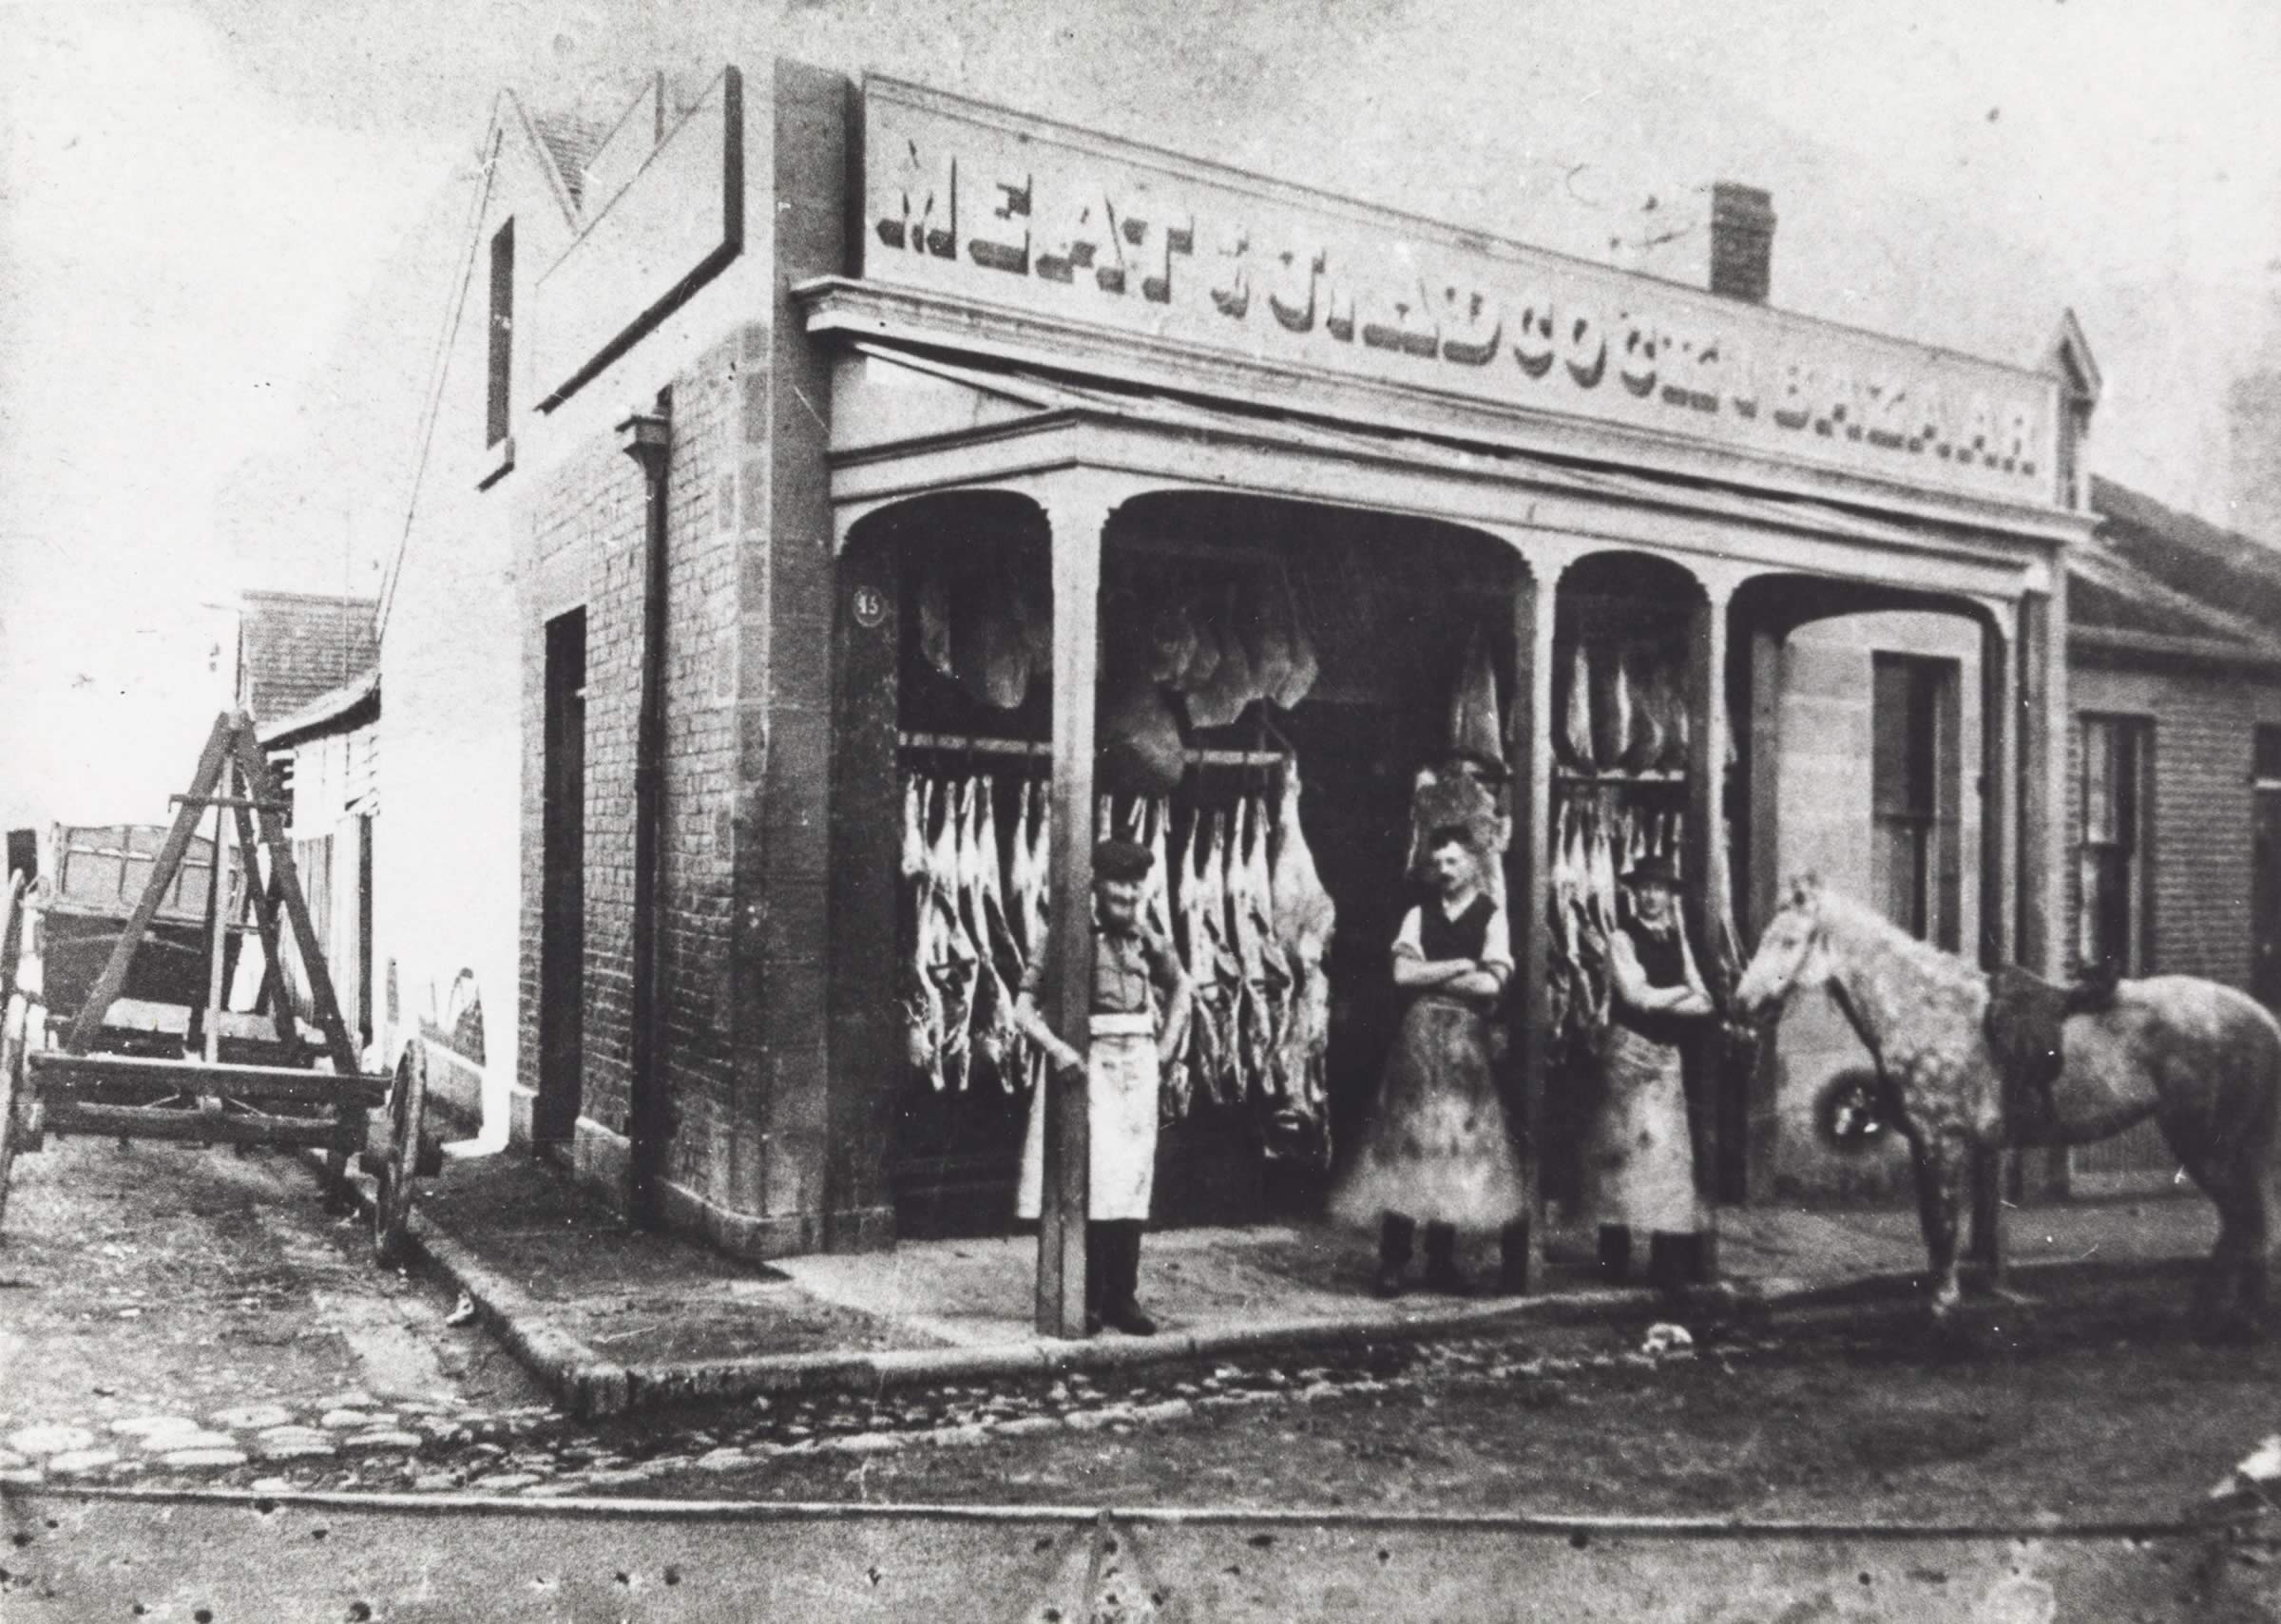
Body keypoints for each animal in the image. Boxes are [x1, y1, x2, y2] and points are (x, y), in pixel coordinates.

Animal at [1724, 875, 2281, 1341]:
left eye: (1788, 941)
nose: (1741, 1006)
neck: (1928, 1013)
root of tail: (2261, 1018)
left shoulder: (1942, 1142)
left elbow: (1944, 1226)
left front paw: (1942, 1309)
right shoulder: (1929, 1144)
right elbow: (1933, 1226)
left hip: (2206, 1144)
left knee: (2245, 1221)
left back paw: (2234, 1317)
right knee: (2246, 1223)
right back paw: (2221, 1314)